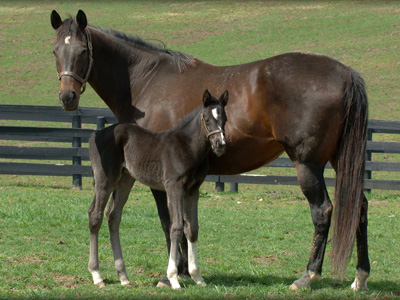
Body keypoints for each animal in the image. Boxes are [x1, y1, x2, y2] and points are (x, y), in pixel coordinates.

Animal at [51, 9, 370, 290]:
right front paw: (183, 271)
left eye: (82, 51)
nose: (67, 97)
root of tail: (346, 74)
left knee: (323, 211)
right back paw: (360, 277)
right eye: (55, 51)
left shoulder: (163, 180)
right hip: (341, 161)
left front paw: (173, 273)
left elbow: (169, 222)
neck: (147, 79)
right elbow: (181, 224)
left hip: (307, 163)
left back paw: (307, 277)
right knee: (360, 207)